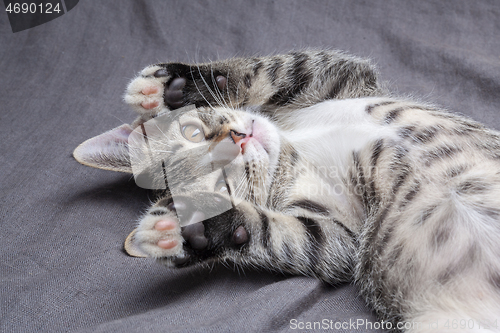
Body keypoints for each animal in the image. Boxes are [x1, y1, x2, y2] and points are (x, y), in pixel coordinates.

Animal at [74, 50, 500, 330]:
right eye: (221, 185)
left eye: (192, 131)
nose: (239, 139)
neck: (295, 144)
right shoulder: (340, 238)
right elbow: (287, 237)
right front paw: (194, 231)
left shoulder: (346, 77)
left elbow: (278, 67)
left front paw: (178, 85)